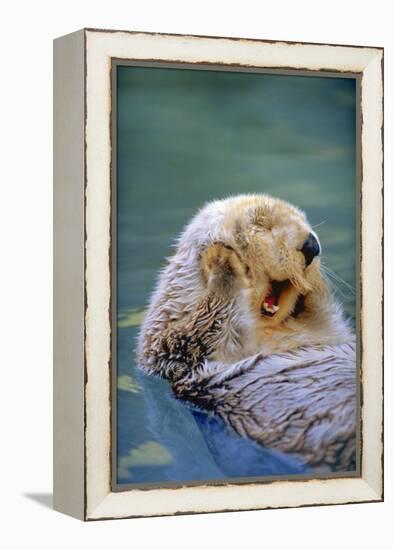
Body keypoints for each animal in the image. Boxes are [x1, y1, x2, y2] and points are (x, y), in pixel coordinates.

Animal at [137, 195, 356, 474]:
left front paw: (314, 283)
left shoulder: (326, 331)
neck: (270, 330)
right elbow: (206, 326)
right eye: (261, 225)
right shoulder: (176, 347)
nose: (312, 245)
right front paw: (221, 259)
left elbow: (325, 318)